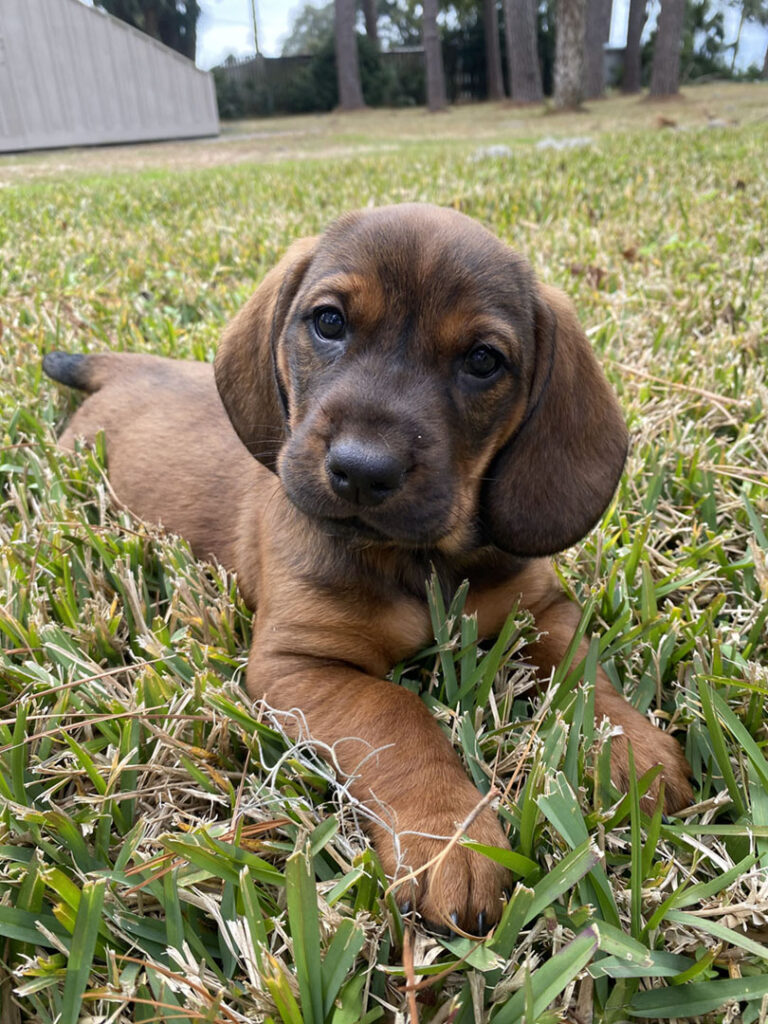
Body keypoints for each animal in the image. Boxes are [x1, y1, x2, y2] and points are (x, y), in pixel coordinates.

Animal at [41, 203, 696, 933]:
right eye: (329, 322)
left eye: (483, 360)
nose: (360, 470)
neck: (417, 558)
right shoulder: (300, 662)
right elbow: (396, 715)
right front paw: (448, 835)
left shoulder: (541, 609)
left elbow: (584, 668)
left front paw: (630, 745)